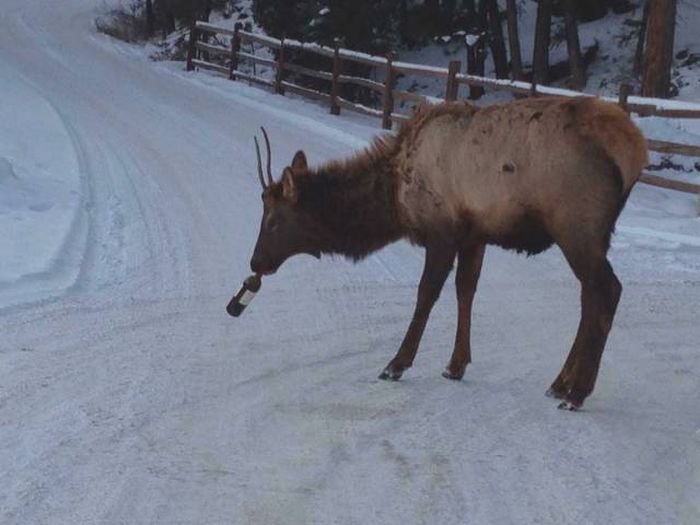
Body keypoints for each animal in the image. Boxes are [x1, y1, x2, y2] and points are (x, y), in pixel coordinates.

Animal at [249, 97, 648, 410]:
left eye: (273, 220)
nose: (256, 262)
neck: (395, 196)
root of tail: (635, 149)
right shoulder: (474, 235)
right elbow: (465, 290)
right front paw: (456, 364)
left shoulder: (441, 231)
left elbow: (427, 294)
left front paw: (397, 363)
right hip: (587, 234)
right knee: (589, 296)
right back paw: (560, 382)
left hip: (575, 226)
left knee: (607, 290)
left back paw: (577, 392)